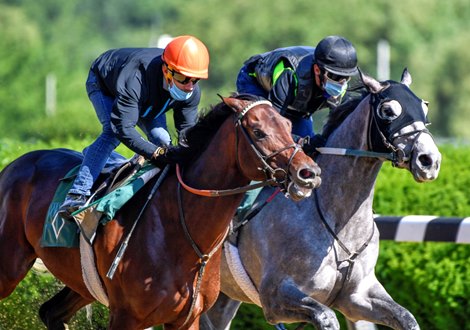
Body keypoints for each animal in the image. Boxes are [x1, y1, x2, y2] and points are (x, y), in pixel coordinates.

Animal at [0, 94, 322, 328]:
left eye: (289, 127)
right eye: (258, 131)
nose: (309, 173)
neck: (179, 231)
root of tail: (13, 164)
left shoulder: (187, 318)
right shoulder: (126, 317)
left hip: (82, 283)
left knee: (51, 312)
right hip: (10, 268)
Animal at [201, 68, 440, 328]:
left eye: (424, 107)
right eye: (387, 111)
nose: (430, 160)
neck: (338, 220)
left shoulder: (357, 296)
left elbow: (407, 318)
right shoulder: (275, 296)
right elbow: (326, 316)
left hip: (224, 294)